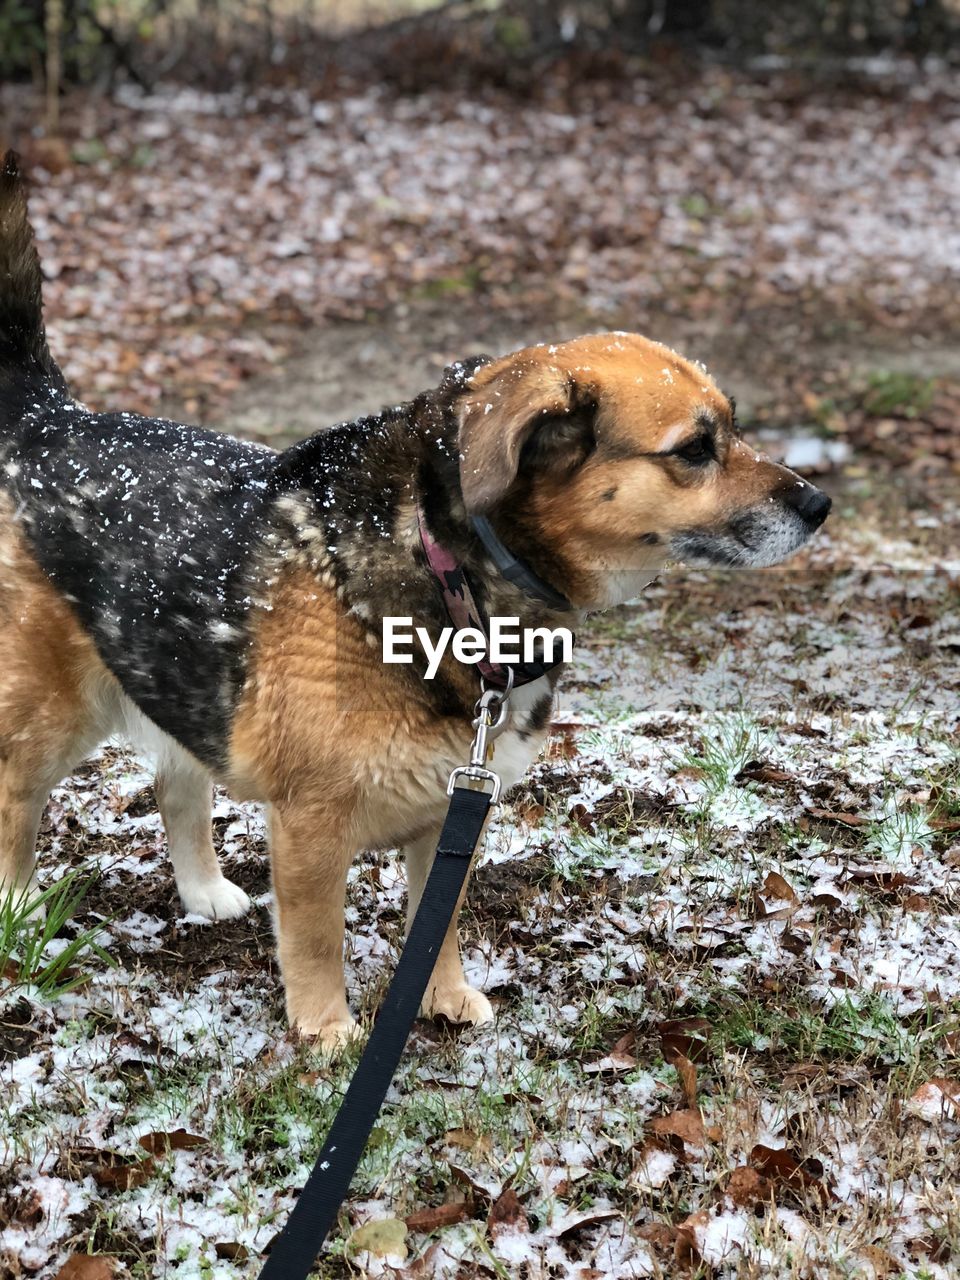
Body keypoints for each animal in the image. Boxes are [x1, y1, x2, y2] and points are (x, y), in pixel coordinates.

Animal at [0, 152, 834, 1049]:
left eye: (733, 429)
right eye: (694, 450)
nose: (820, 504)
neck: (447, 571)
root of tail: (47, 417)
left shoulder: (451, 809)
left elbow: (437, 923)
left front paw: (441, 995)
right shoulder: (312, 825)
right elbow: (317, 940)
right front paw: (326, 1031)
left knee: (176, 785)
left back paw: (201, 892)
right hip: (50, 715)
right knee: (18, 804)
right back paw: (18, 912)